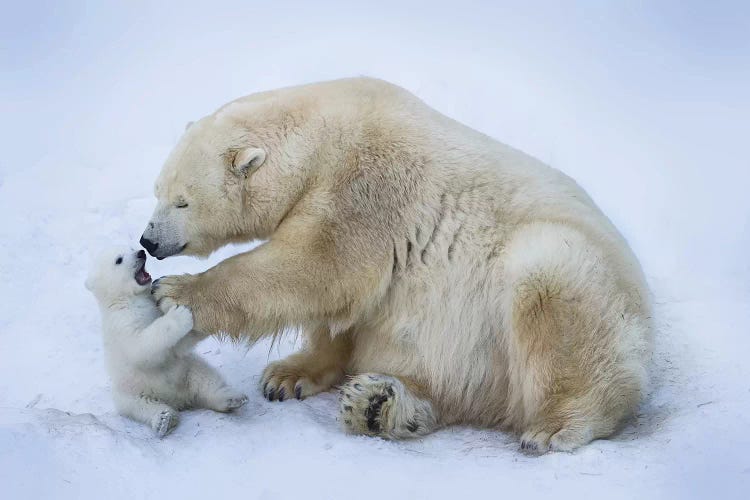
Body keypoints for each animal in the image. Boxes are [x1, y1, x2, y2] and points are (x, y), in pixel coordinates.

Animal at [142, 77, 652, 454]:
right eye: (157, 190)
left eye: (182, 201)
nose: (148, 240)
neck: (324, 135)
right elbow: (343, 307)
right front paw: (287, 376)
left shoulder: (370, 185)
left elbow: (317, 267)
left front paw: (174, 293)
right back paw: (377, 405)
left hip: (578, 284)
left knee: (552, 292)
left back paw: (555, 426)